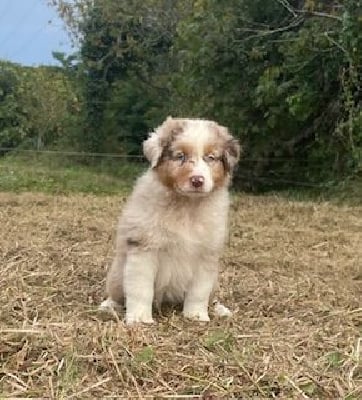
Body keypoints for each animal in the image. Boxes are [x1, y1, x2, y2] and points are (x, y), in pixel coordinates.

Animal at [100, 116, 239, 324]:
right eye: (180, 156)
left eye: (210, 158)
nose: (197, 180)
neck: (187, 205)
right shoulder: (144, 247)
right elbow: (141, 289)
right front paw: (140, 318)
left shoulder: (206, 254)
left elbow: (199, 291)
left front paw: (196, 315)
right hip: (117, 274)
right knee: (116, 293)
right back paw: (109, 305)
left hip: (215, 281)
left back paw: (219, 309)